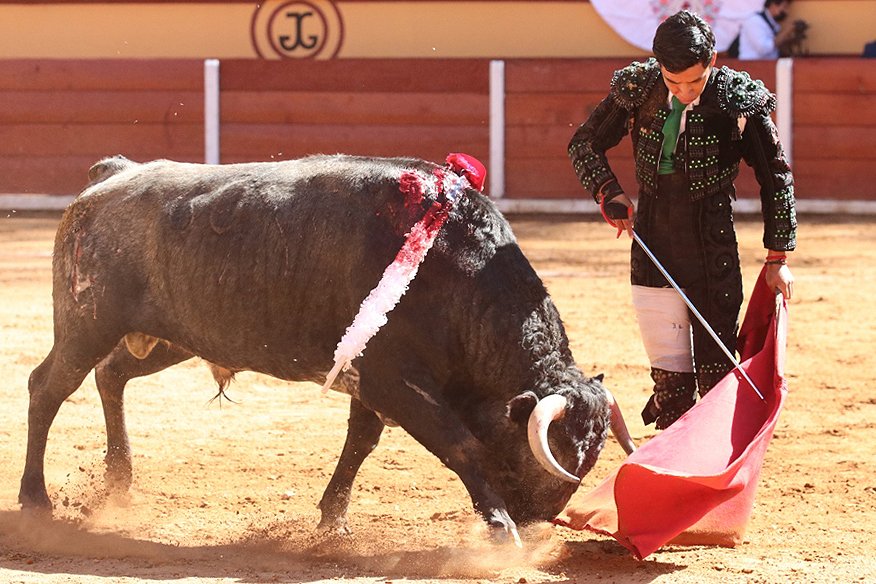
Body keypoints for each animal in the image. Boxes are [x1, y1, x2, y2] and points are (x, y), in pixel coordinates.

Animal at [19, 154, 635, 545]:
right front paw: (500, 530)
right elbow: (460, 444)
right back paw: (35, 501)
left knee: (111, 375)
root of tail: (114, 176)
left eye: (591, 458)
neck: (457, 275)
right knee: (48, 387)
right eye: (547, 454)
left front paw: (331, 522)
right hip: (87, 322)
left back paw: (119, 484)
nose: (536, 522)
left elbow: (360, 442)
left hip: (172, 336)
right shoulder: (396, 380)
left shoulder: (371, 381)